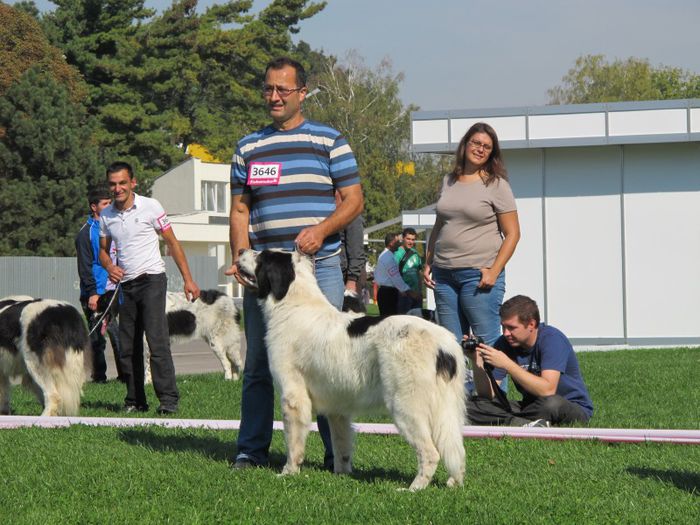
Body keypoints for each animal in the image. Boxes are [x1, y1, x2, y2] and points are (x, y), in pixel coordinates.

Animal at [238, 248, 468, 490]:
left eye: (261, 257)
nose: (241, 250)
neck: (293, 305)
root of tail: (445, 344)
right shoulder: (337, 406)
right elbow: (342, 444)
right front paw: (341, 475)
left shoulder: (293, 397)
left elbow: (293, 442)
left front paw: (288, 472)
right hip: (449, 408)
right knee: (456, 449)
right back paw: (454, 482)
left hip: (405, 405)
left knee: (431, 452)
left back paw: (413, 489)